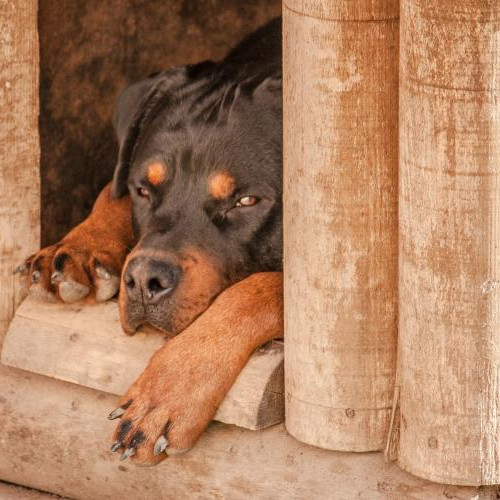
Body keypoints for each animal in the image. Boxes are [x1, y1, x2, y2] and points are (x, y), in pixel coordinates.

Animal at [19, 17, 284, 466]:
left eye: (246, 201)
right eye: (143, 189)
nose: (144, 280)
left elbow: (261, 287)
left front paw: (168, 392)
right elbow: (111, 189)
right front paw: (78, 247)